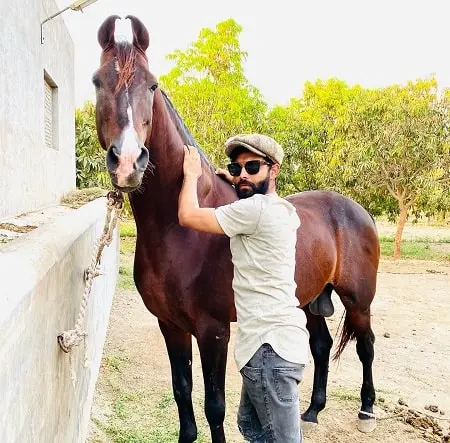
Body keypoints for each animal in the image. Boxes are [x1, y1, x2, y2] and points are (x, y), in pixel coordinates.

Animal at [94, 15, 380, 442]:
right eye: (97, 81)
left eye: (152, 85)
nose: (128, 162)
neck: (181, 234)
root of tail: (356, 210)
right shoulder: (170, 326)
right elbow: (181, 392)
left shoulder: (213, 332)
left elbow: (214, 405)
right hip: (309, 299)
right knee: (320, 345)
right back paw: (312, 410)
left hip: (358, 300)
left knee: (366, 346)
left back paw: (366, 409)